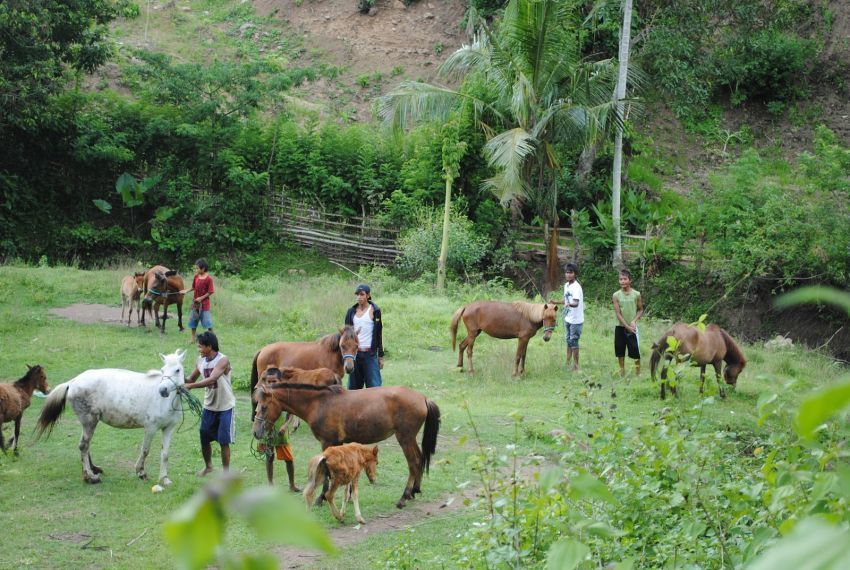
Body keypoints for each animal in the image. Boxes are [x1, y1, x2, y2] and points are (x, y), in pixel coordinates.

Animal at [34, 346, 186, 484]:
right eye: (162, 370)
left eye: (177, 370)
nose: (163, 390)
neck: (165, 401)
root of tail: (72, 382)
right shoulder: (151, 428)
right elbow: (145, 450)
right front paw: (141, 472)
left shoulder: (168, 429)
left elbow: (165, 454)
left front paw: (164, 479)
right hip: (90, 421)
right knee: (83, 446)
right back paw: (90, 477)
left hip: (88, 422)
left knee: (86, 445)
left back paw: (93, 469)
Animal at [250, 382, 438, 506]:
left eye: (264, 407)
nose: (256, 432)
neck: (319, 404)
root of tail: (423, 398)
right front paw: (347, 496)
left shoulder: (327, 443)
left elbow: (326, 470)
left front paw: (321, 498)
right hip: (410, 439)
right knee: (420, 460)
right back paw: (415, 490)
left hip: (405, 438)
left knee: (413, 462)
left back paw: (404, 497)